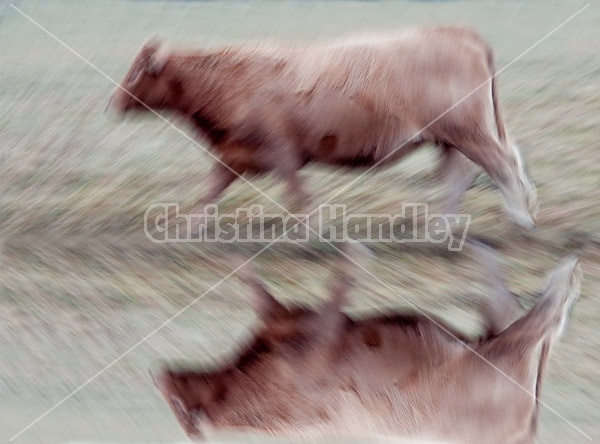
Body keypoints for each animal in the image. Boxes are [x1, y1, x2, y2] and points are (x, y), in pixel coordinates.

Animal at [108, 26, 540, 232]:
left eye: (135, 72)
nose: (114, 101)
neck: (232, 79)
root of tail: (456, 32)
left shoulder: (281, 151)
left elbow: (298, 195)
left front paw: (312, 234)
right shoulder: (233, 154)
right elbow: (208, 194)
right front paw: (186, 230)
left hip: (470, 132)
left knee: (502, 166)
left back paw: (519, 219)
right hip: (448, 139)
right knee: (458, 178)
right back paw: (438, 229)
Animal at [151, 246, 580, 444]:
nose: (163, 376)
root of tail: (525, 431)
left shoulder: (306, 326)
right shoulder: (308, 329)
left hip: (498, 349)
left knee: (527, 312)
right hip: (500, 349)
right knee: (534, 314)